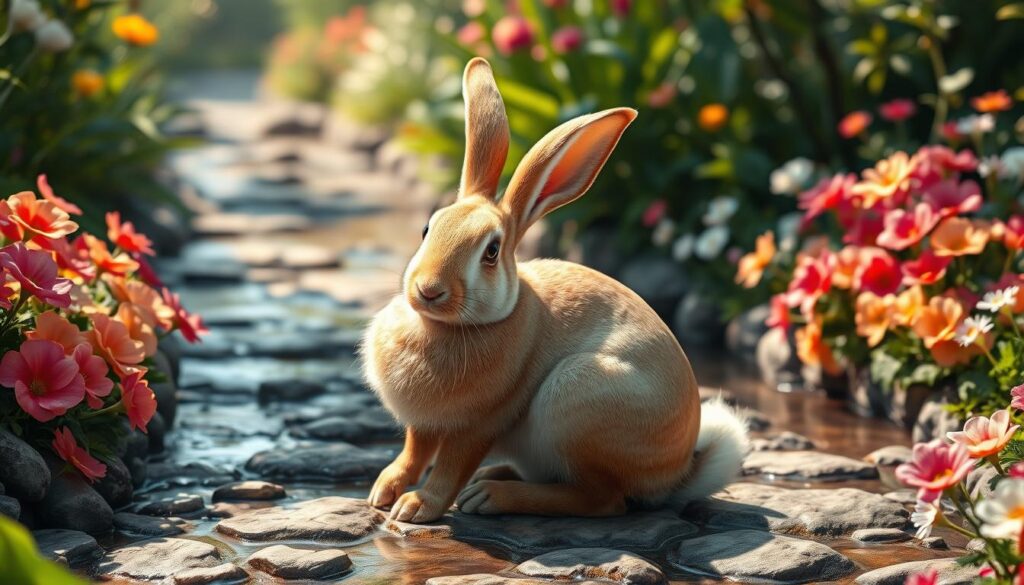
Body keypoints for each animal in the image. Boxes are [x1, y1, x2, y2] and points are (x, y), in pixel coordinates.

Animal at [362, 57, 749, 524]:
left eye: (491, 252)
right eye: (427, 228)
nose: (428, 289)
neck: (444, 325)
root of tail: (674, 475)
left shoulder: (478, 424)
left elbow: (450, 466)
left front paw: (415, 508)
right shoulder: (424, 424)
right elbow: (413, 452)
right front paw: (383, 492)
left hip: (578, 402)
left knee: (603, 499)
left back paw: (489, 496)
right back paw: (494, 477)